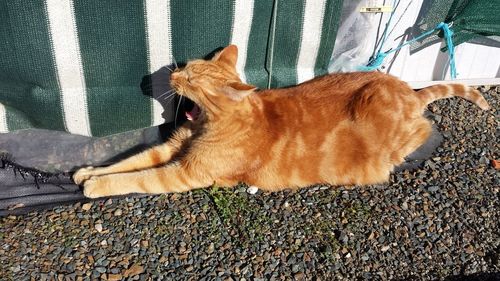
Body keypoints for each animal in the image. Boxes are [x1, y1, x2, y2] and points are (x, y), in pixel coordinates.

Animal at [73, 44, 488, 197]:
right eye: (186, 69)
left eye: (191, 80)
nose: (173, 76)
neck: (210, 123)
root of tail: (407, 90)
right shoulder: (169, 150)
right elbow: (126, 161)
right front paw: (88, 171)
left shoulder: (184, 172)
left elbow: (136, 177)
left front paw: (95, 186)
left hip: (387, 117)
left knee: (424, 126)